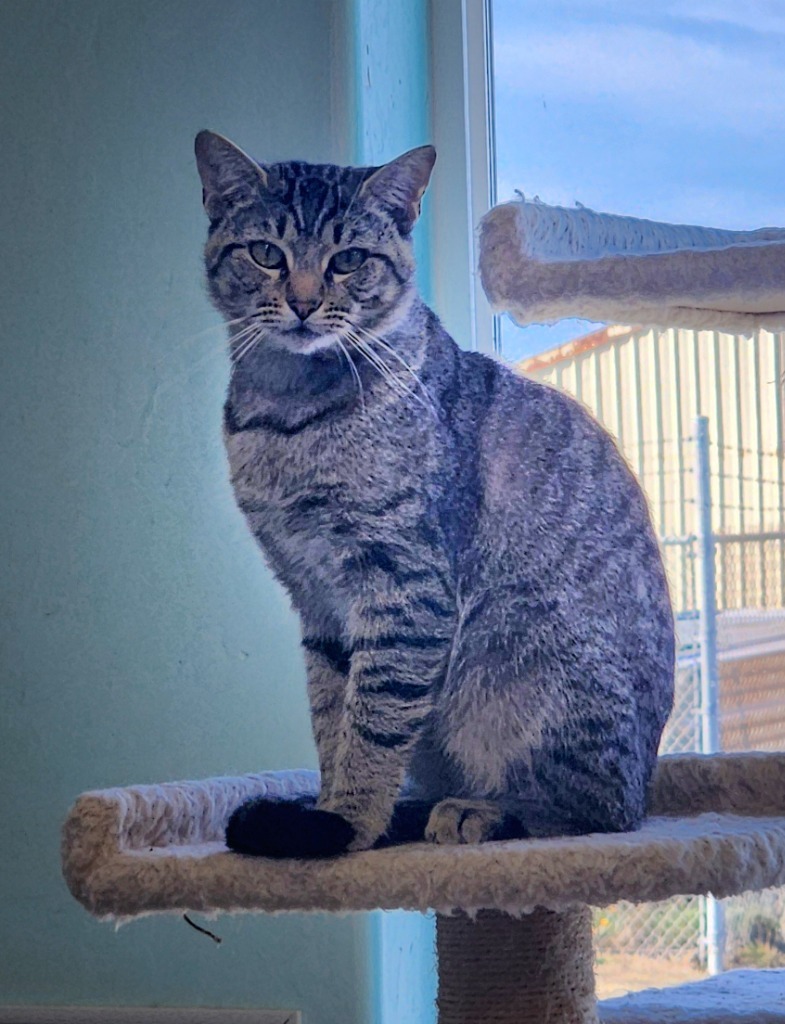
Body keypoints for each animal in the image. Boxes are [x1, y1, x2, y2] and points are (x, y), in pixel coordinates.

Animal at [194, 132, 675, 860]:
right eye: (266, 253)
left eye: (349, 260)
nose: (302, 302)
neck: (286, 414)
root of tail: (649, 778)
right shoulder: (317, 600)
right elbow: (333, 717)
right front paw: (331, 807)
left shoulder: (403, 583)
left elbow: (373, 723)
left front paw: (345, 822)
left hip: (523, 656)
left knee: (594, 809)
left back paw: (478, 810)